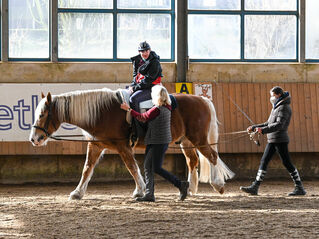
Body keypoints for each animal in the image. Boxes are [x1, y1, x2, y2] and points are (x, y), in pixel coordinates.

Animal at [29, 88, 235, 200]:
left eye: (42, 114)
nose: (34, 139)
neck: (101, 112)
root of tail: (202, 99)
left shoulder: (123, 146)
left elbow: (132, 167)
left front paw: (140, 190)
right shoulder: (95, 146)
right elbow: (87, 169)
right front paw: (77, 193)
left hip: (198, 139)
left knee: (212, 156)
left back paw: (218, 185)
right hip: (186, 142)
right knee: (193, 161)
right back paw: (190, 189)